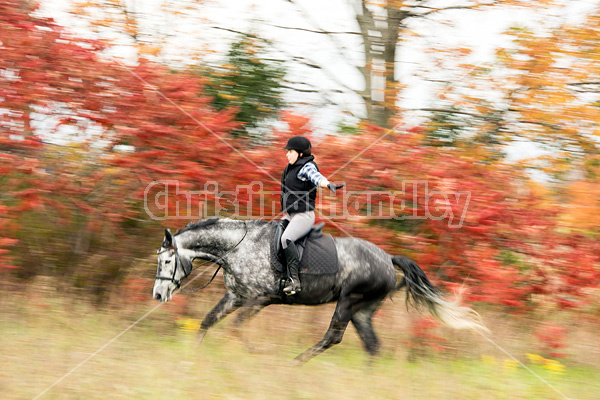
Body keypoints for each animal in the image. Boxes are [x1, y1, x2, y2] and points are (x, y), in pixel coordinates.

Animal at [152, 217, 486, 364]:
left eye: (167, 260)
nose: (157, 295)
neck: (237, 248)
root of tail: (387, 258)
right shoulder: (236, 297)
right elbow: (207, 322)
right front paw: (192, 356)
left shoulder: (260, 299)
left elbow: (236, 329)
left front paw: (258, 353)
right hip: (362, 310)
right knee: (371, 345)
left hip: (348, 300)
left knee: (333, 337)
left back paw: (295, 363)